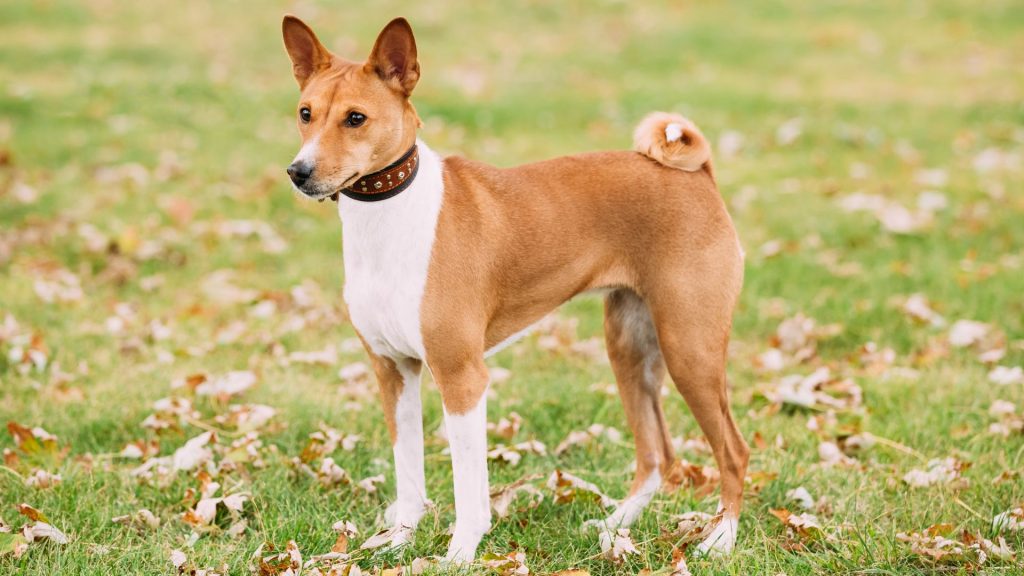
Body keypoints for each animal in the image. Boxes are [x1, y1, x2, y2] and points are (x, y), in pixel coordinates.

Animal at [284, 14, 749, 561]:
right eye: (306, 113)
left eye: (355, 118)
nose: (298, 171)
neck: (390, 218)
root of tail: (699, 175)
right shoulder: (393, 370)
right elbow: (409, 477)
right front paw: (397, 544)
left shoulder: (462, 377)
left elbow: (468, 487)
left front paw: (459, 555)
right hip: (630, 348)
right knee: (658, 454)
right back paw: (616, 526)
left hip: (689, 348)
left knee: (734, 451)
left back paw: (720, 538)